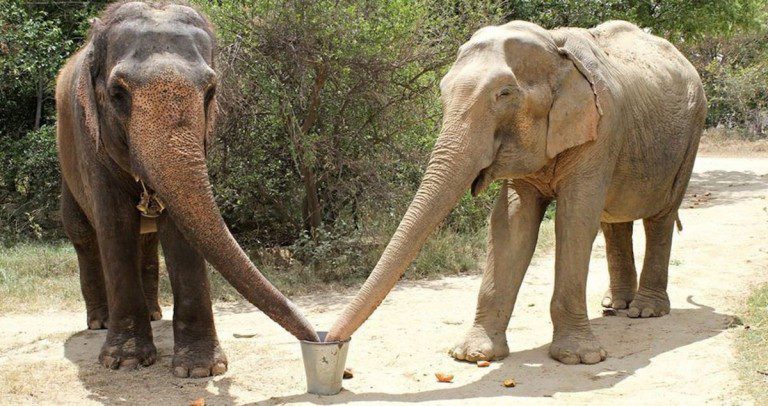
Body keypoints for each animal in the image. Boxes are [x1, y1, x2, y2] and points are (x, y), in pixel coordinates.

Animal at [55, 1, 318, 377]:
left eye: (210, 92)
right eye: (118, 94)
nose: (319, 338)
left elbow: (181, 228)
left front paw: (200, 370)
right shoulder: (90, 142)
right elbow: (115, 226)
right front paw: (125, 362)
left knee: (146, 239)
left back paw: (154, 313)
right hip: (66, 167)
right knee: (83, 235)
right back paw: (100, 322)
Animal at [326, 20, 706, 365]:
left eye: (504, 94)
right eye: (442, 90)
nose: (329, 342)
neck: (554, 45)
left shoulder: (601, 128)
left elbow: (575, 218)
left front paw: (578, 358)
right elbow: (511, 222)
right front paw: (473, 355)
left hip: (690, 136)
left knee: (659, 217)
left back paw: (645, 311)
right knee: (614, 220)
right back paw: (615, 306)